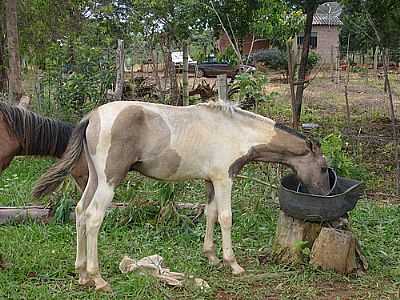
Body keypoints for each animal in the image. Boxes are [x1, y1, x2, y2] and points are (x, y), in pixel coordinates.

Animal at [33, 100, 328, 290]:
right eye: (324, 168)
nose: (324, 194)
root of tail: (93, 116)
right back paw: (98, 278)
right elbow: (226, 217)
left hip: (95, 178)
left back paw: (82, 273)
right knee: (93, 217)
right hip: (109, 180)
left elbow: (210, 214)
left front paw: (211, 257)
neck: (236, 132)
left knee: (80, 212)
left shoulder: (210, 180)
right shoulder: (224, 178)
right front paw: (232, 264)